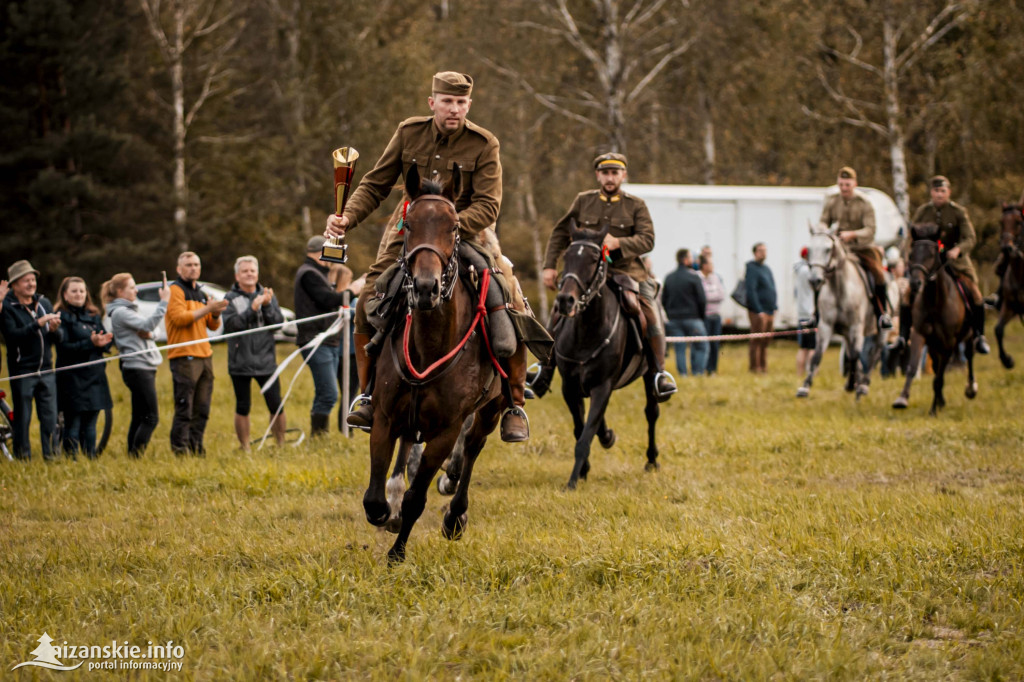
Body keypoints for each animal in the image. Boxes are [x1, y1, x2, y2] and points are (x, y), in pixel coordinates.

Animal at [368, 165, 512, 561]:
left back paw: (455, 515)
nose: (425, 287)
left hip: (491, 410)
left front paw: (397, 554)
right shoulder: (384, 416)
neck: (429, 345)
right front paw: (387, 511)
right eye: (409, 225)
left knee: (474, 448)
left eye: (453, 227)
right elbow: (374, 497)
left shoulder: (447, 431)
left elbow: (418, 496)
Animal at [557, 225, 659, 485]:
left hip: (650, 374)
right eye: (567, 256)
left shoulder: (603, 386)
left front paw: (572, 482)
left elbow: (585, 437)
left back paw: (652, 460)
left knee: (652, 413)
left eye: (594, 259)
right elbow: (580, 428)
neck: (586, 332)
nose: (565, 300)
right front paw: (583, 469)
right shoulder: (570, 387)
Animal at [794, 225, 892, 399]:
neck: (839, 289)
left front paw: (857, 387)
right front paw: (805, 387)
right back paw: (854, 382)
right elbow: (817, 355)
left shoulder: (856, 327)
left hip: (881, 331)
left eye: (828, 249)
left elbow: (857, 354)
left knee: (874, 354)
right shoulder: (826, 326)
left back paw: (863, 384)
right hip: (847, 333)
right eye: (809, 249)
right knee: (853, 353)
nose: (814, 280)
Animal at [892, 225, 978, 411]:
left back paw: (970, 388)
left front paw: (933, 409)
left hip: (967, 335)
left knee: (968, 356)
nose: (915, 284)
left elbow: (939, 376)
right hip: (933, 344)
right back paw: (941, 400)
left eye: (931, 254)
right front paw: (902, 398)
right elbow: (913, 367)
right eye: (911, 254)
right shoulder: (919, 334)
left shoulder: (948, 342)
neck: (934, 301)